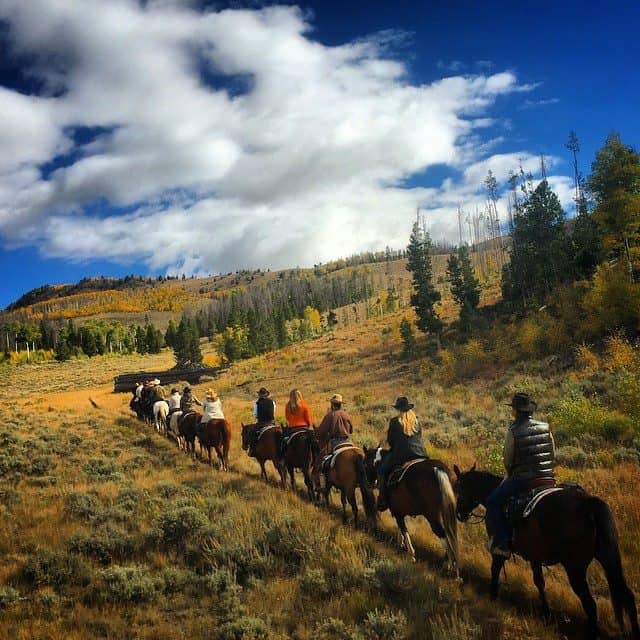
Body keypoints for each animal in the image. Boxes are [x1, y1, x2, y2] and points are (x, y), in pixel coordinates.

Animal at [362, 444, 458, 576]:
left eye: (365, 464)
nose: (369, 483)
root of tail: (439, 470)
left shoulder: (397, 512)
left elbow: (404, 530)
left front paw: (411, 554)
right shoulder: (401, 512)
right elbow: (401, 529)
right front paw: (401, 545)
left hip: (433, 517)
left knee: (443, 535)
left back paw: (450, 566)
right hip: (447, 512)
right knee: (450, 534)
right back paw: (448, 562)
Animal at [452, 464, 636, 640]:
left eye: (458, 488)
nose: (459, 514)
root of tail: (589, 505)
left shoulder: (499, 547)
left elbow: (495, 569)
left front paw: (492, 597)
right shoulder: (535, 556)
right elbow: (539, 582)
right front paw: (546, 614)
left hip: (575, 568)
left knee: (590, 605)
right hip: (608, 560)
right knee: (628, 597)